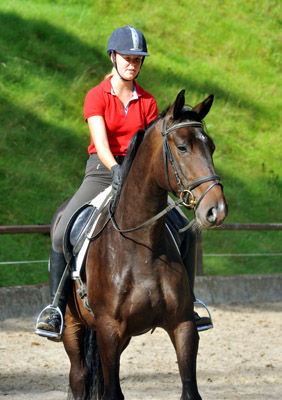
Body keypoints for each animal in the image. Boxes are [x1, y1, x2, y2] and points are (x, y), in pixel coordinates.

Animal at [61, 90, 227, 400]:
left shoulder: (183, 325)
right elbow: (111, 392)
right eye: (182, 147)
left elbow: (190, 389)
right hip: (73, 327)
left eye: (210, 147)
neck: (142, 245)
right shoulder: (109, 329)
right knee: (78, 376)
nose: (217, 210)